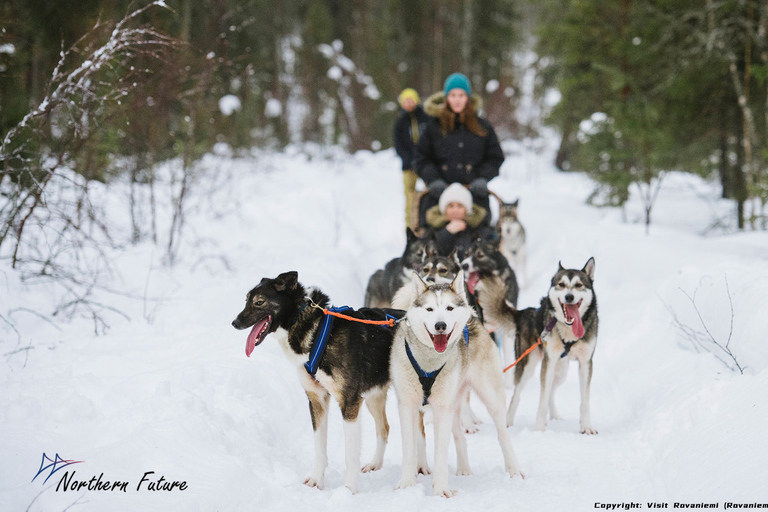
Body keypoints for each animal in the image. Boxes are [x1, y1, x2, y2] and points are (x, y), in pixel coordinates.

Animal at [231, 272, 428, 492]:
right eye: (246, 300)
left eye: (259, 302)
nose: (235, 323)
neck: (316, 333)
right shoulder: (317, 399)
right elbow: (319, 448)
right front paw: (316, 480)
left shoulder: (349, 402)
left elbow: (350, 454)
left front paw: (349, 489)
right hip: (374, 396)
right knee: (384, 428)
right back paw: (375, 464)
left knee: (420, 431)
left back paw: (421, 467)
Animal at [390, 274, 520, 498]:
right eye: (430, 309)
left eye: (449, 308)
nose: (440, 325)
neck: (429, 363)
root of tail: (473, 318)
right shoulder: (408, 406)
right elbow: (409, 449)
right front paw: (407, 485)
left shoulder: (442, 409)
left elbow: (441, 454)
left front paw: (441, 490)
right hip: (453, 405)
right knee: (460, 436)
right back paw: (464, 469)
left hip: (490, 397)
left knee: (503, 434)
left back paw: (514, 469)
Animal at [476, 258, 596, 434]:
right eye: (561, 284)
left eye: (579, 285)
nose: (569, 296)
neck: (569, 332)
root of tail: (524, 312)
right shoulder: (548, 362)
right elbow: (542, 399)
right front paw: (539, 428)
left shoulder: (585, 363)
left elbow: (585, 401)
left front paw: (586, 426)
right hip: (527, 366)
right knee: (517, 395)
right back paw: (507, 421)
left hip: (561, 371)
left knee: (552, 390)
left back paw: (554, 416)